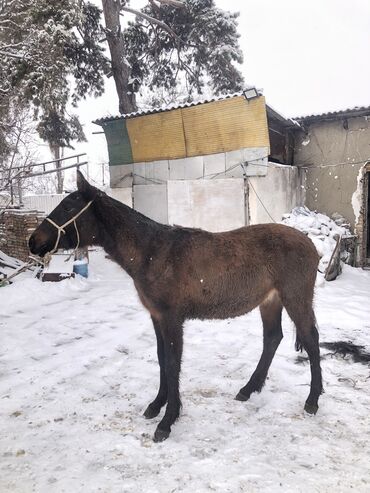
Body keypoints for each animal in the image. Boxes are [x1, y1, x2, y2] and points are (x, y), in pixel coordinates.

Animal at [28, 170, 322, 442]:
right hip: (270, 301)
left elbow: (172, 363)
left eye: (68, 207)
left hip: (295, 298)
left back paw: (312, 400)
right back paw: (248, 389)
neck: (151, 253)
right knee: (272, 338)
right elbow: (161, 359)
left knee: (310, 339)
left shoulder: (171, 318)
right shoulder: (157, 317)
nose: (33, 242)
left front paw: (167, 420)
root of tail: (310, 243)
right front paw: (157, 405)